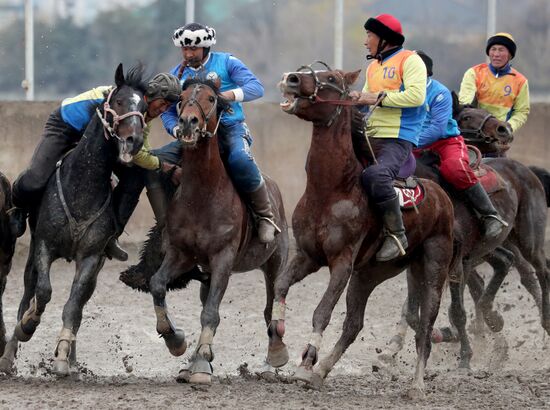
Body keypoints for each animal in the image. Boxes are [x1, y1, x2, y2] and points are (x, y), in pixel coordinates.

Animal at [149, 79, 292, 384]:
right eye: (180, 98)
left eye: (212, 98)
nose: (188, 122)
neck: (203, 195)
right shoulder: (182, 254)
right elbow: (157, 284)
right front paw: (176, 340)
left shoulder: (223, 259)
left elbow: (211, 313)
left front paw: (203, 360)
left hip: (275, 261)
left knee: (272, 305)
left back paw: (275, 355)